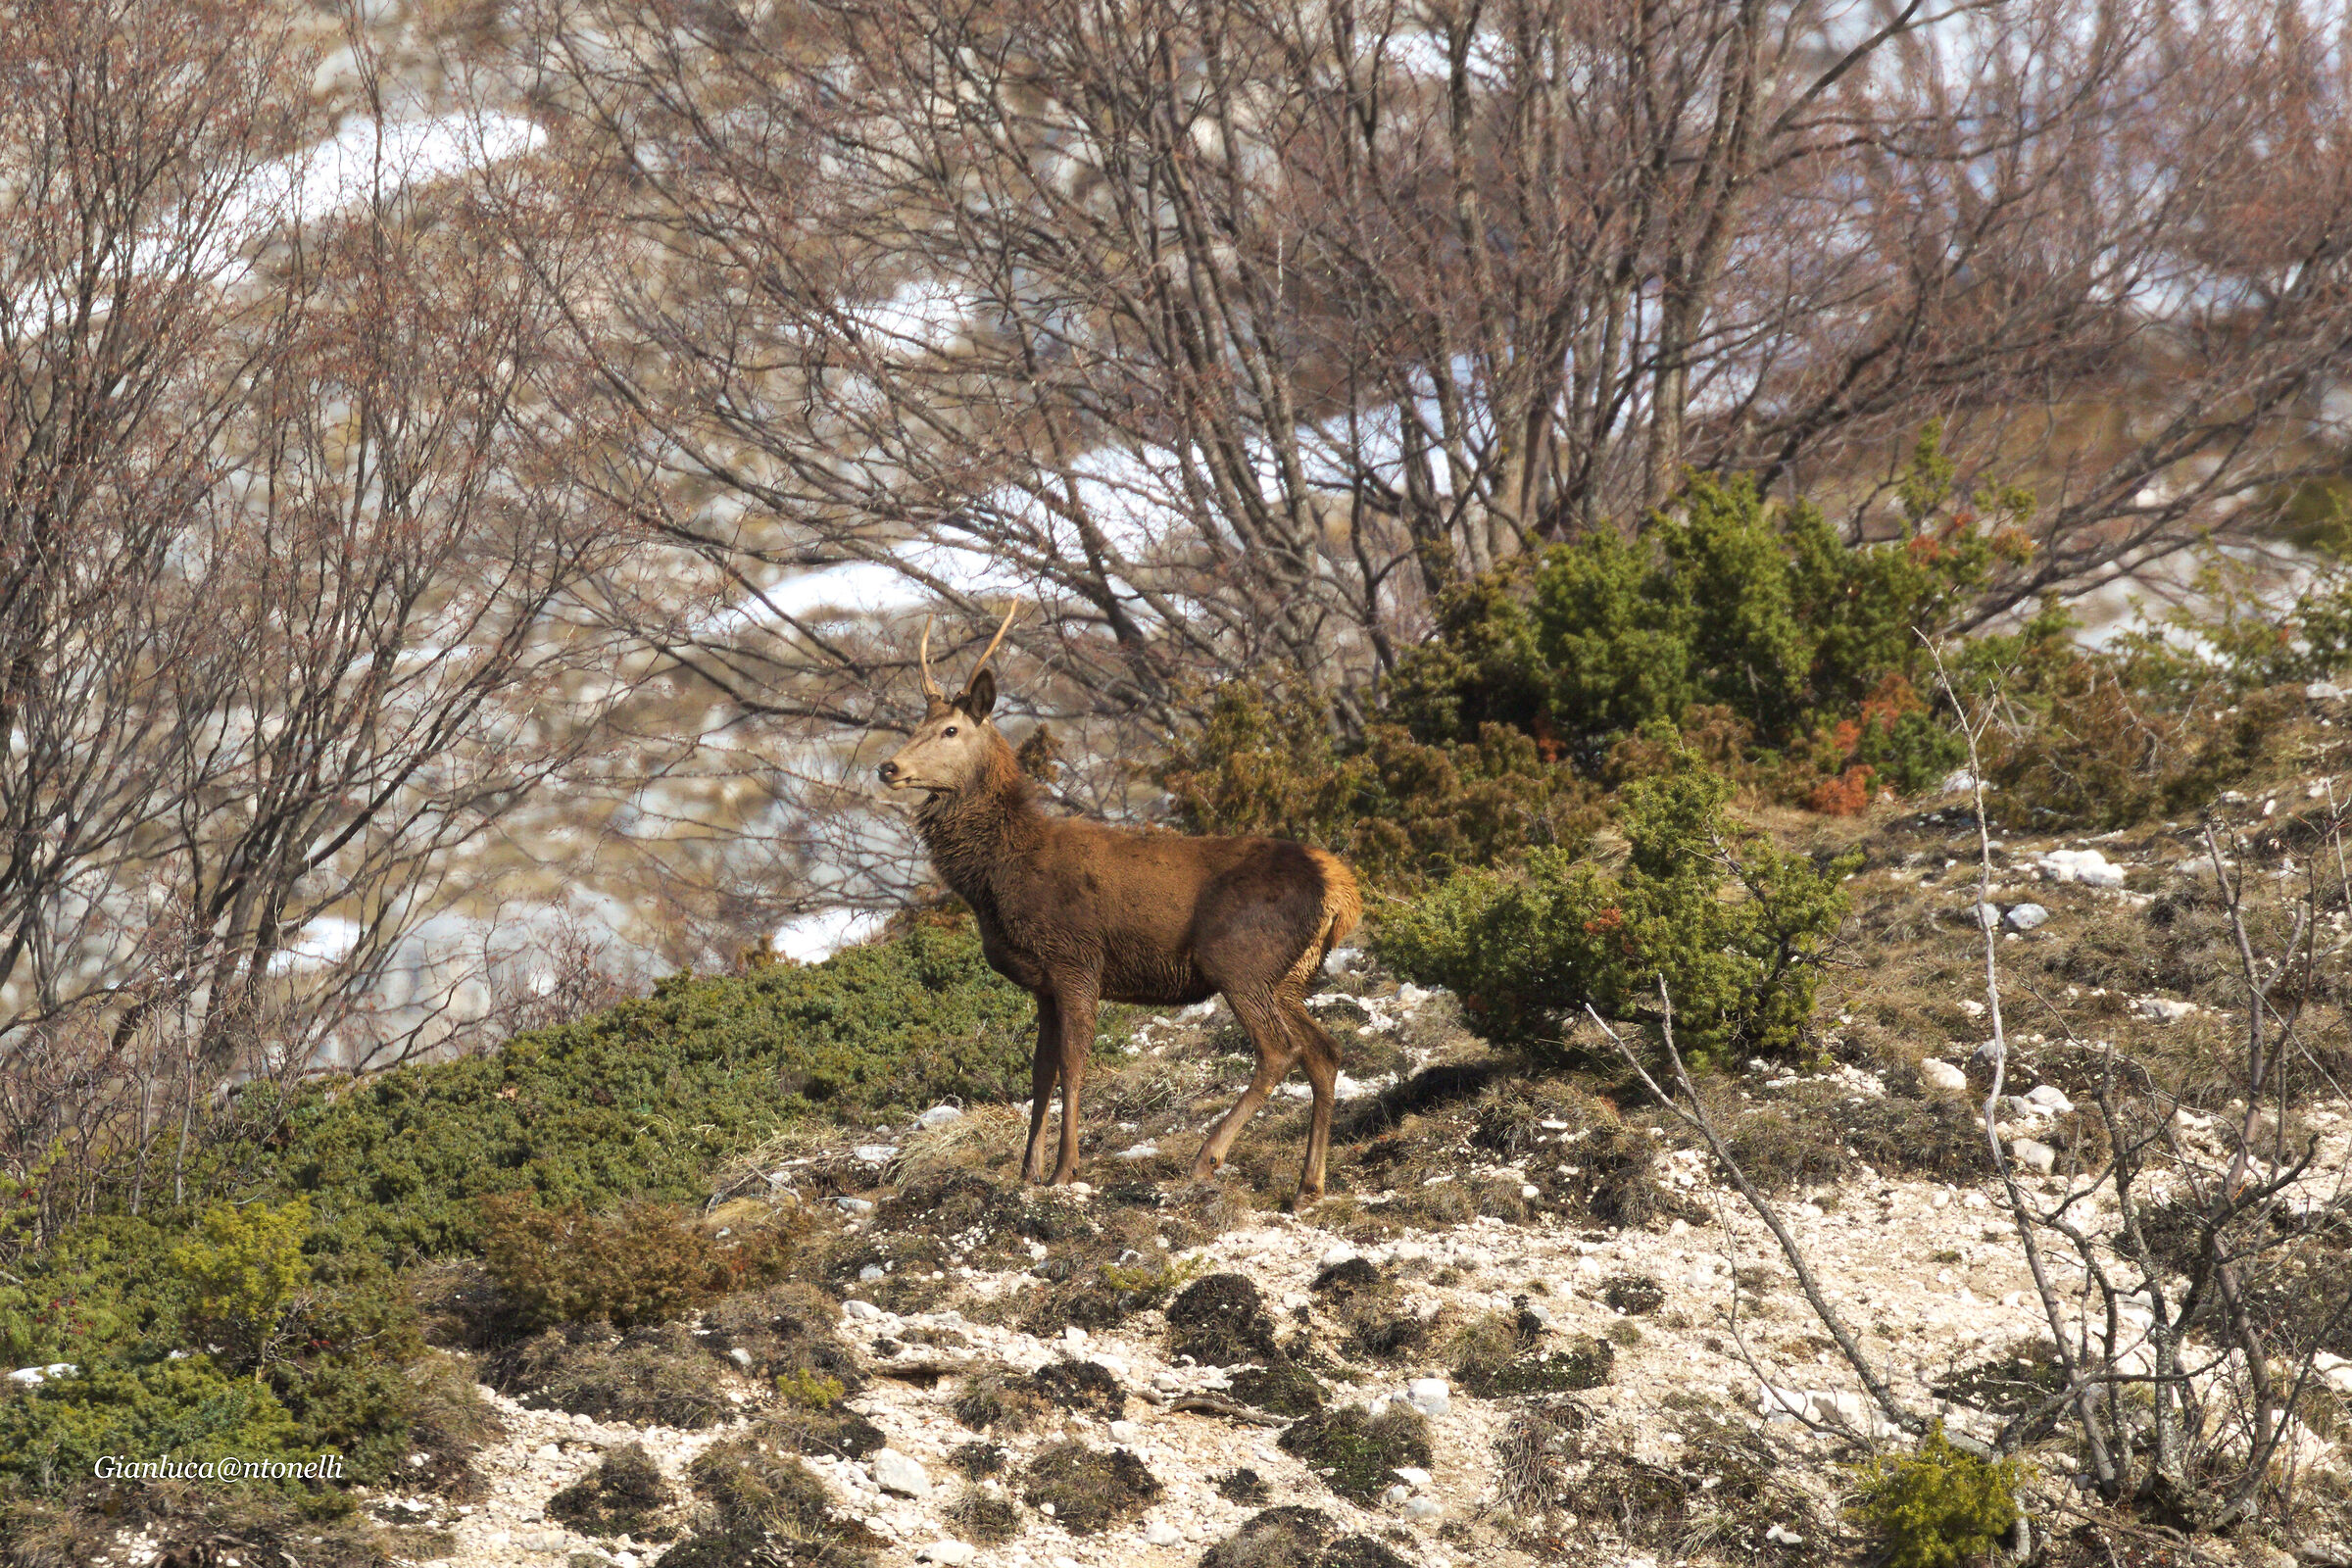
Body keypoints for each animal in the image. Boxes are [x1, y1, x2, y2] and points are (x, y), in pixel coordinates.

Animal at [876, 606, 1362, 1206]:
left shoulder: (1077, 960)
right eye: (917, 723)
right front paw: (1027, 1170)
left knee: (1279, 1050)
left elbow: (1073, 1065)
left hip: (1240, 960)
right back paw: (1309, 1182)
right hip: (1289, 976)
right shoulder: (1043, 983)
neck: (1000, 878)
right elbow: (1040, 1071)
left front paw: (1065, 1169)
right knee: (1324, 1051)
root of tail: (1340, 888)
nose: (889, 766)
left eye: (950, 730)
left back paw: (1208, 1157)